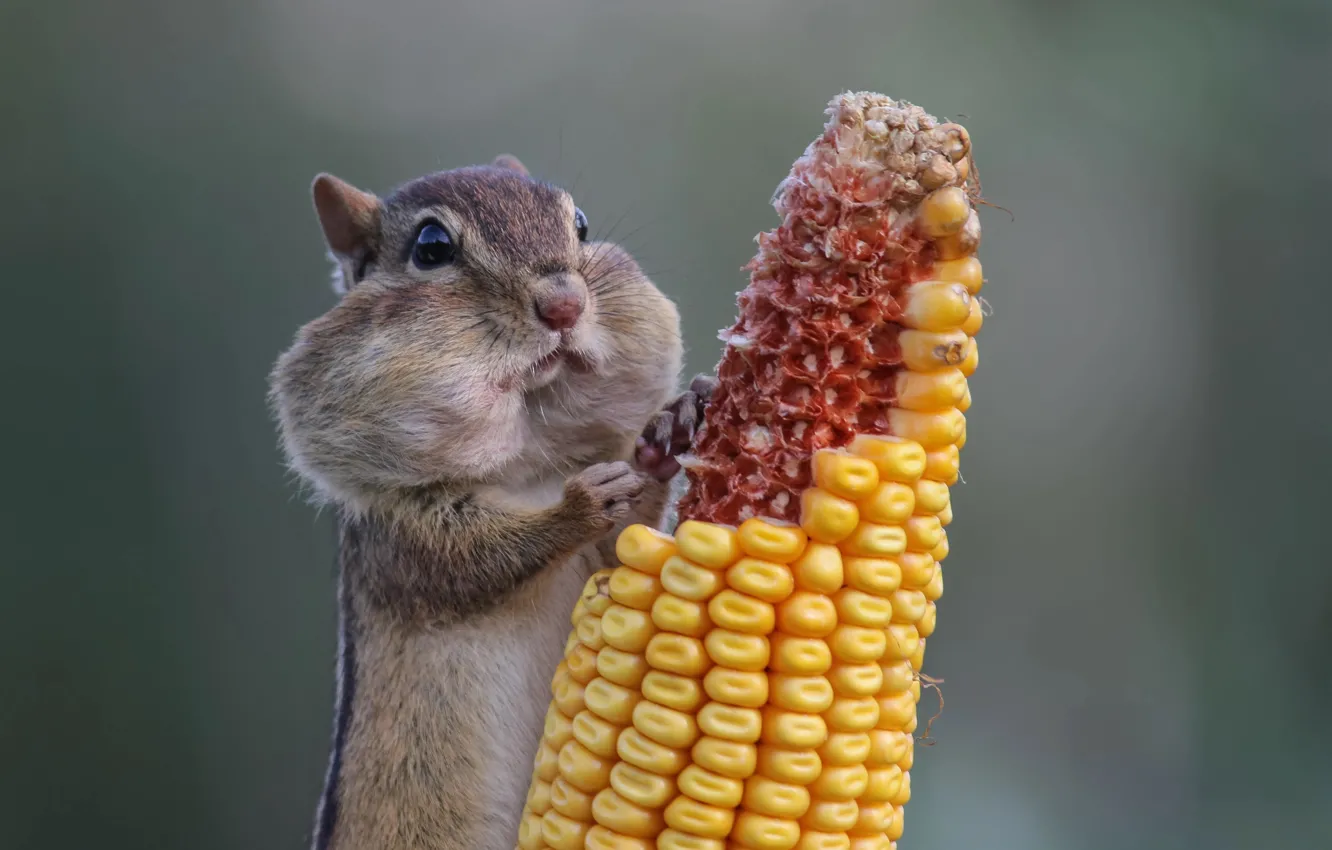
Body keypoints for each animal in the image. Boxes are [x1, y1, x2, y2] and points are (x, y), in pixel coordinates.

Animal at [269, 154, 715, 850]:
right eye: (431, 247)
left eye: (580, 224)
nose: (565, 303)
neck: (527, 467)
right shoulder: (400, 541)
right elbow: (477, 561)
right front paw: (579, 505)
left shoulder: (603, 564)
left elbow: (626, 548)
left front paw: (669, 429)